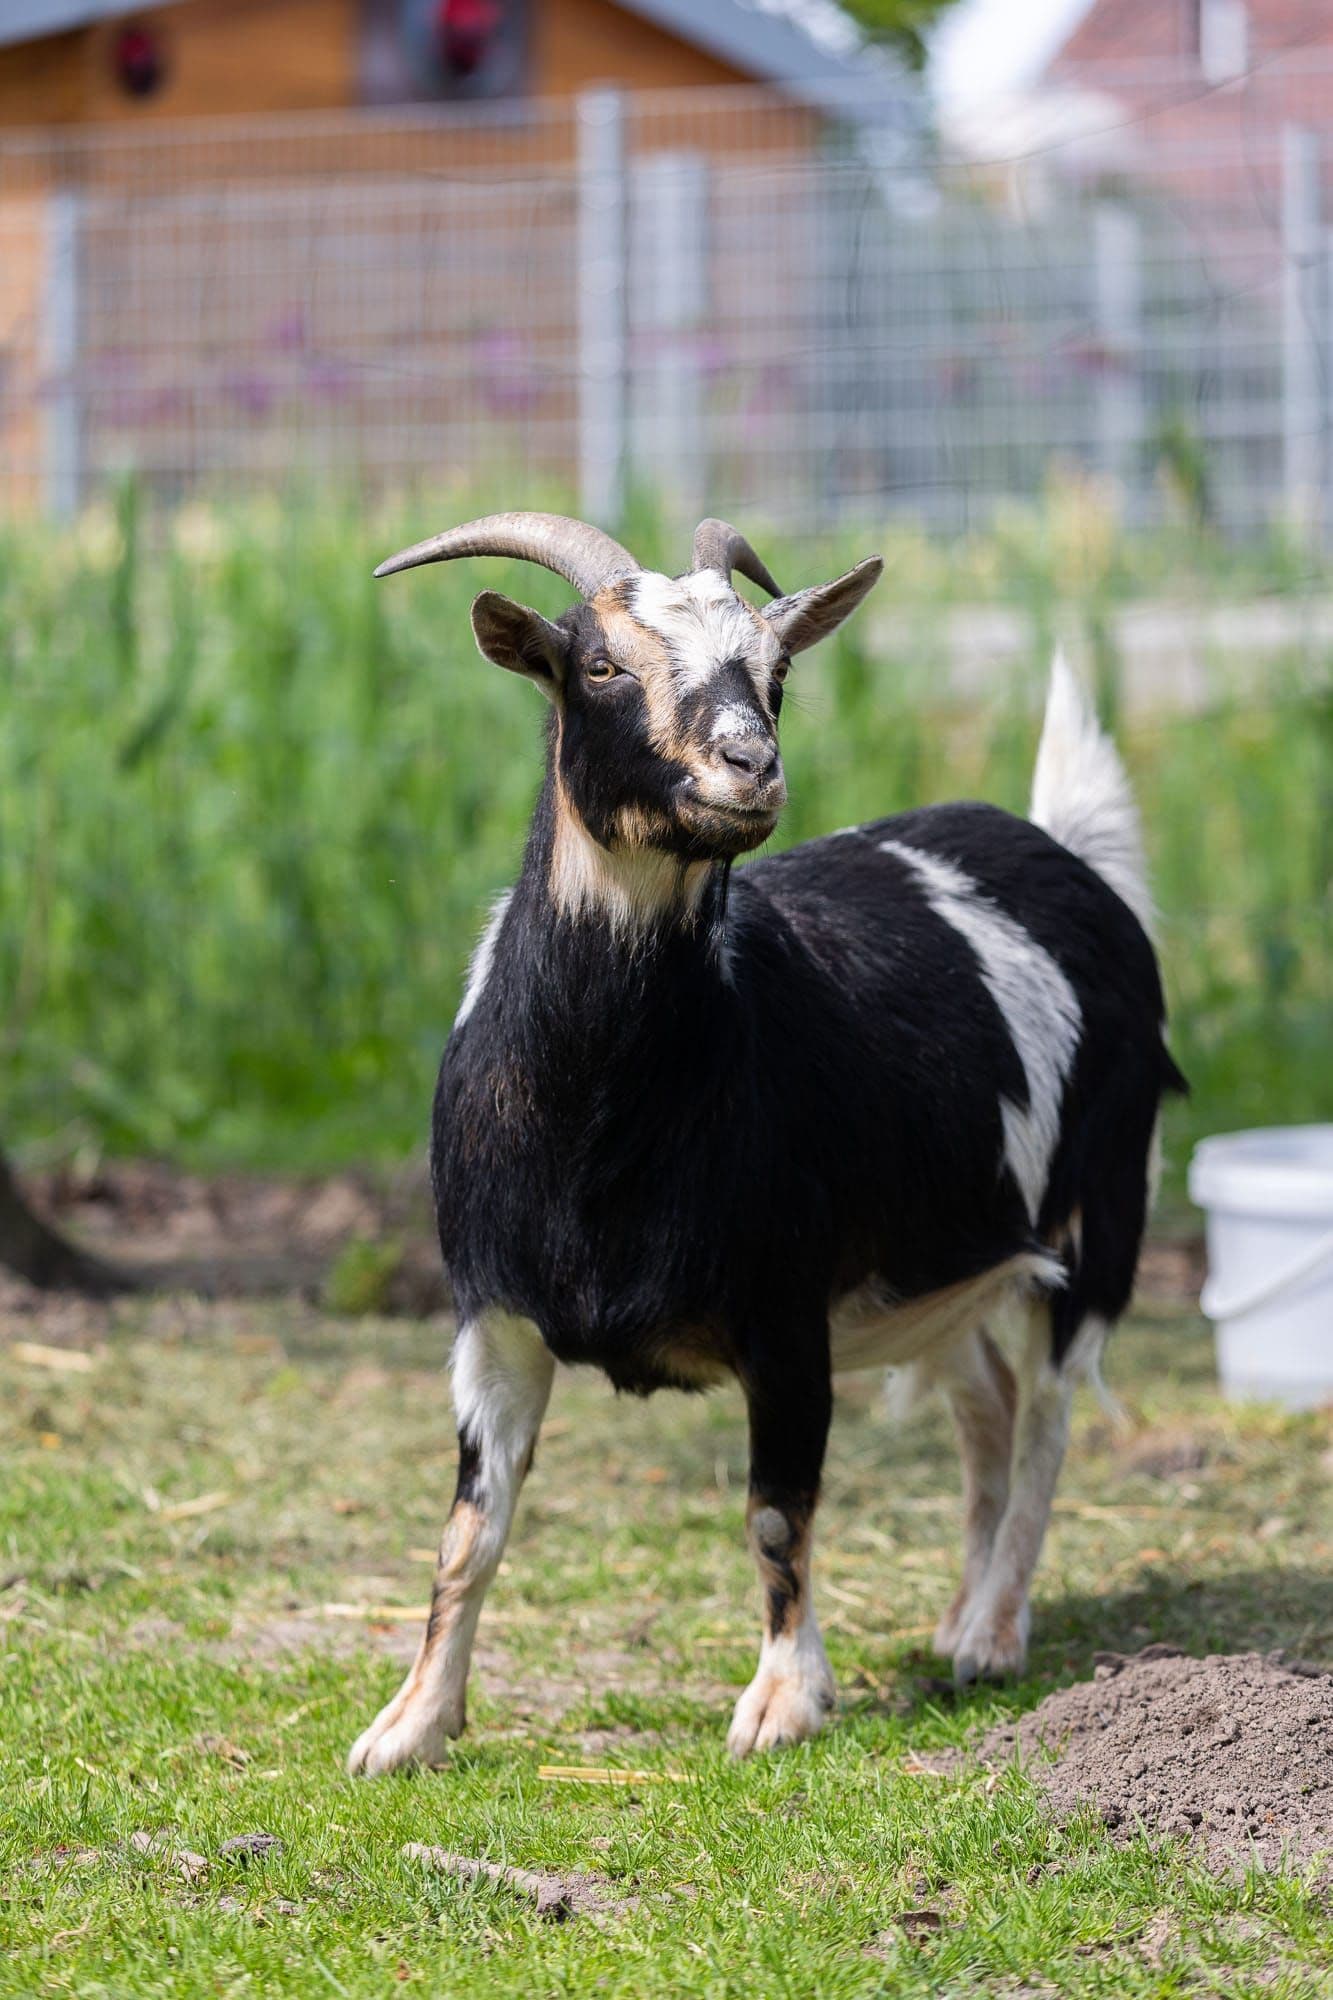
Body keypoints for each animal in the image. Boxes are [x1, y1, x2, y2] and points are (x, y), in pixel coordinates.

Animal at [347, 512, 1185, 1773]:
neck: (603, 1119)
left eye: (774, 672)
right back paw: (956, 1619)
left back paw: (994, 1634)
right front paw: (409, 1724)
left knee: (1045, 1413)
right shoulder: (491, 1318)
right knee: (987, 1404)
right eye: (600, 664)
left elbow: (777, 1511)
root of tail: (1063, 850)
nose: (749, 765)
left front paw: (783, 1700)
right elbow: (469, 1528)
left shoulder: (785, 1316)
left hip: (1098, 1209)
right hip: (934, 1257)